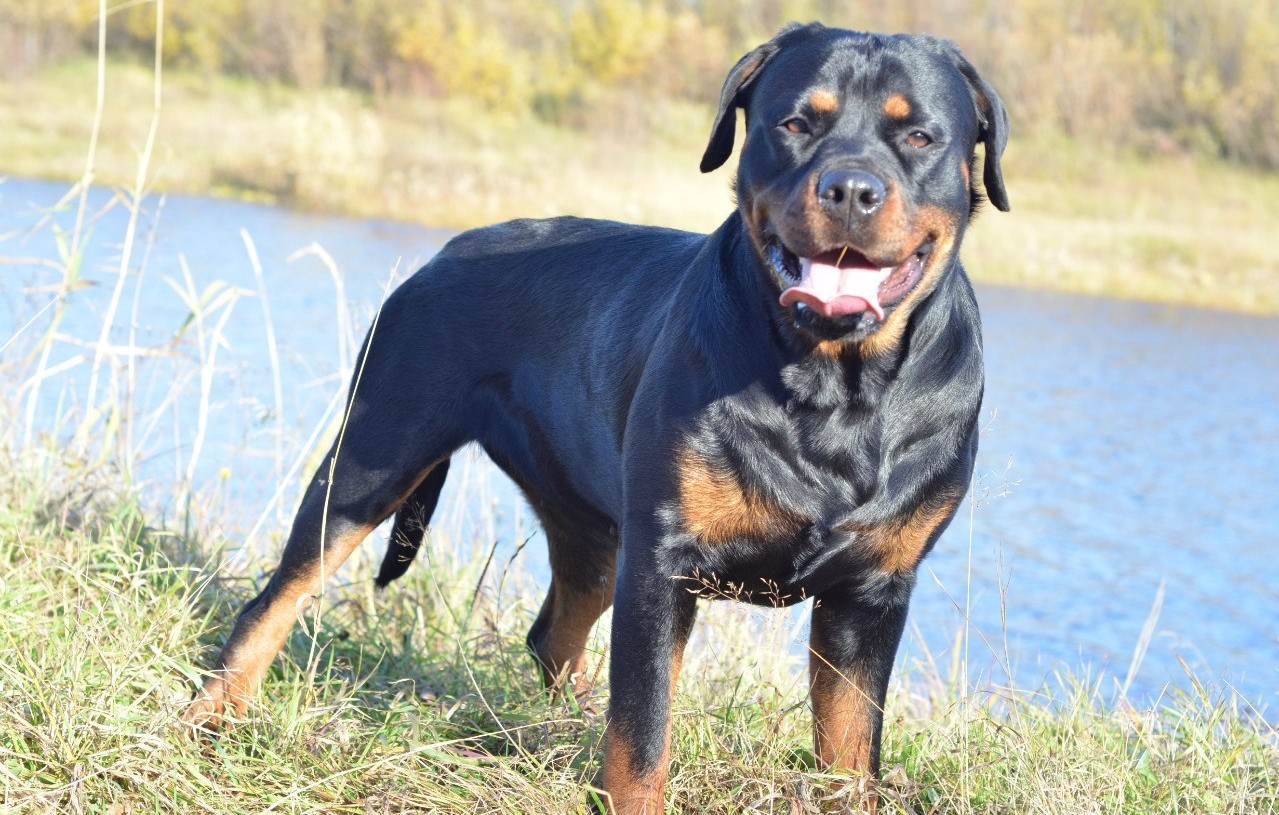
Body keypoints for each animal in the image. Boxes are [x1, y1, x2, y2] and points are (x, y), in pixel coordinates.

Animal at [186, 22, 1007, 813]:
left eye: (919, 136)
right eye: (796, 123)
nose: (850, 188)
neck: (835, 384)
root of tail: (443, 252)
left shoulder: (870, 593)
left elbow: (849, 747)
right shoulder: (663, 562)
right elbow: (642, 729)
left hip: (591, 525)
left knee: (555, 634)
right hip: (375, 454)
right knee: (279, 593)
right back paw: (213, 715)